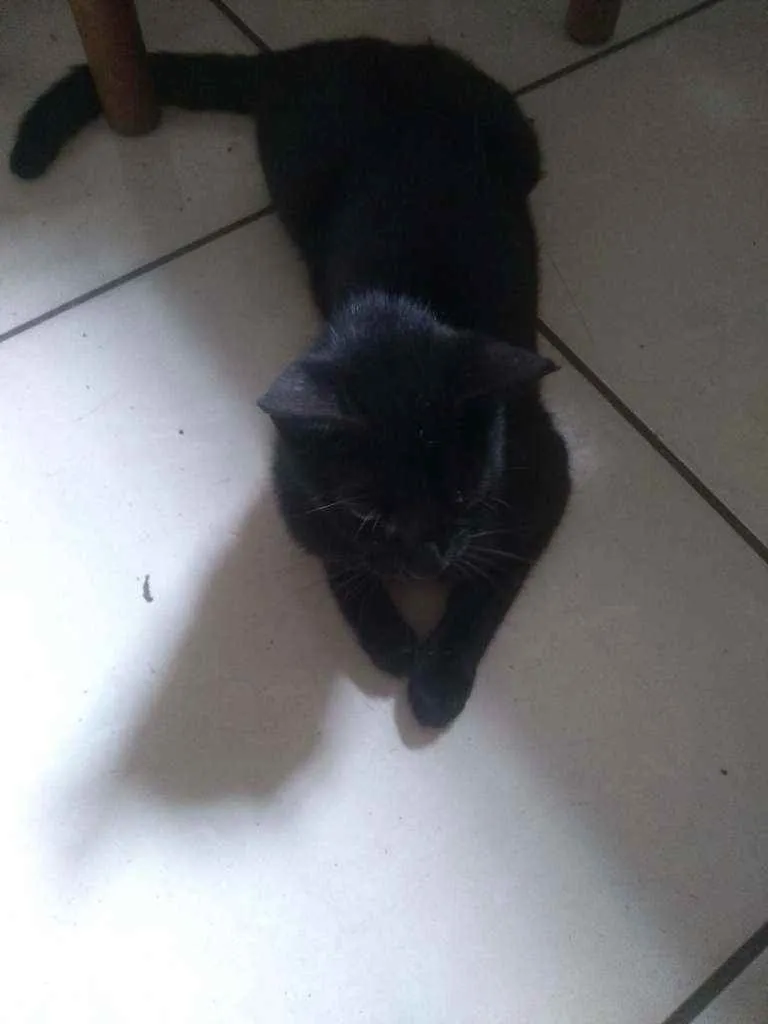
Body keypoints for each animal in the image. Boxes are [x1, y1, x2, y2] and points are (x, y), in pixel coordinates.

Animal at [10, 38, 571, 728]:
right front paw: (390, 641)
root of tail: (305, 54)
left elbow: (486, 589)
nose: (427, 561)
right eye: (369, 512)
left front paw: (438, 682)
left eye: (465, 494)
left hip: (515, 140)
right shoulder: (294, 490)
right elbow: (338, 558)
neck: (404, 298)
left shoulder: (542, 475)